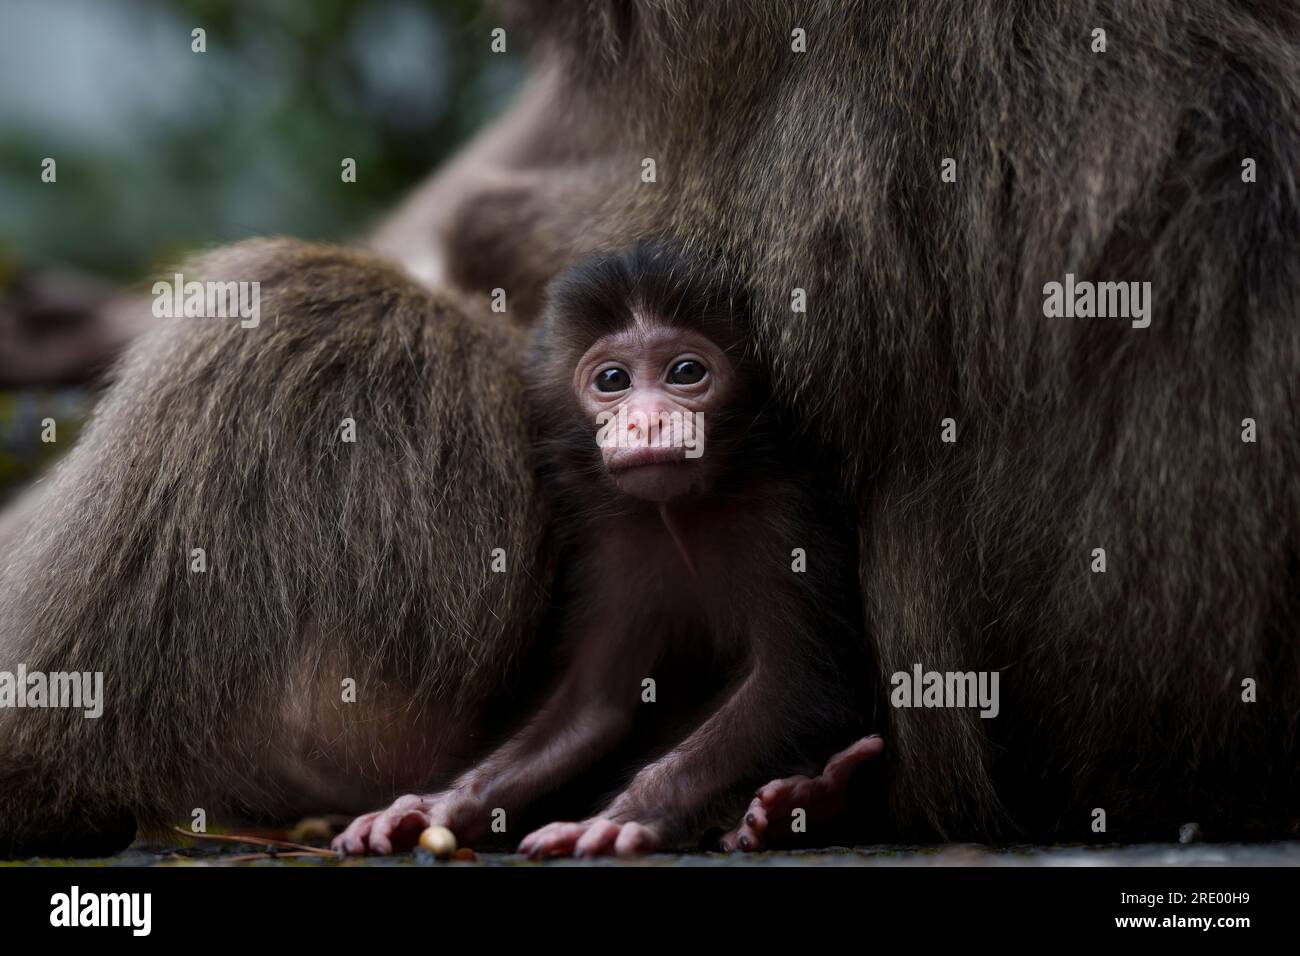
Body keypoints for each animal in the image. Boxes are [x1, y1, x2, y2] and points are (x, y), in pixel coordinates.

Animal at [335, 243, 883, 858]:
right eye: (613, 380)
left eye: (686, 372)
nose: (646, 421)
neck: (684, 512)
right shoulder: (617, 544)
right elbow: (593, 707)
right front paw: (437, 807)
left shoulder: (787, 518)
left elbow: (797, 684)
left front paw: (628, 816)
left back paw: (815, 801)